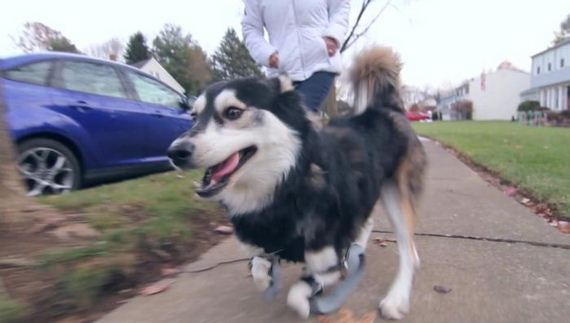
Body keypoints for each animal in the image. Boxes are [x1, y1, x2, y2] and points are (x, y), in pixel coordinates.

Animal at [166, 46, 424, 320]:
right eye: (193, 117)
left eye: (233, 112)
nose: (175, 152)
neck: (286, 184)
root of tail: (387, 109)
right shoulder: (265, 246)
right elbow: (259, 269)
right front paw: (269, 279)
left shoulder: (328, 257)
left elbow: (299, 292)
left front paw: (306, 301)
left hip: (398, 196)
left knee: (408, 250)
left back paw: (396, 297)